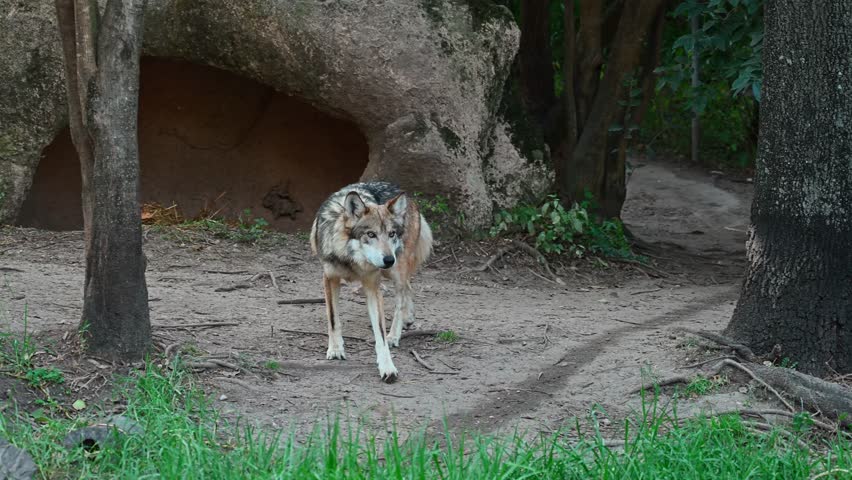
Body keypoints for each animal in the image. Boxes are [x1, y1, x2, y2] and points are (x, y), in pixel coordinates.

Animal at [310, 182, 433, 383]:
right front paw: (335, 350)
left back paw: (395, 335)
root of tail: (408, 197)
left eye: (391, 234)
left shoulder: (372, 285)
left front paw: (387, 367)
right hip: (391, 272)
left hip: (395, 271)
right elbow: (333, 318)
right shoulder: (330, 278)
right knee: (409, 287)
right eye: (371, 234)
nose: (389, 259)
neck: (352, 260)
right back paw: (409, 318)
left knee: (402, 296)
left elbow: (380, 334)